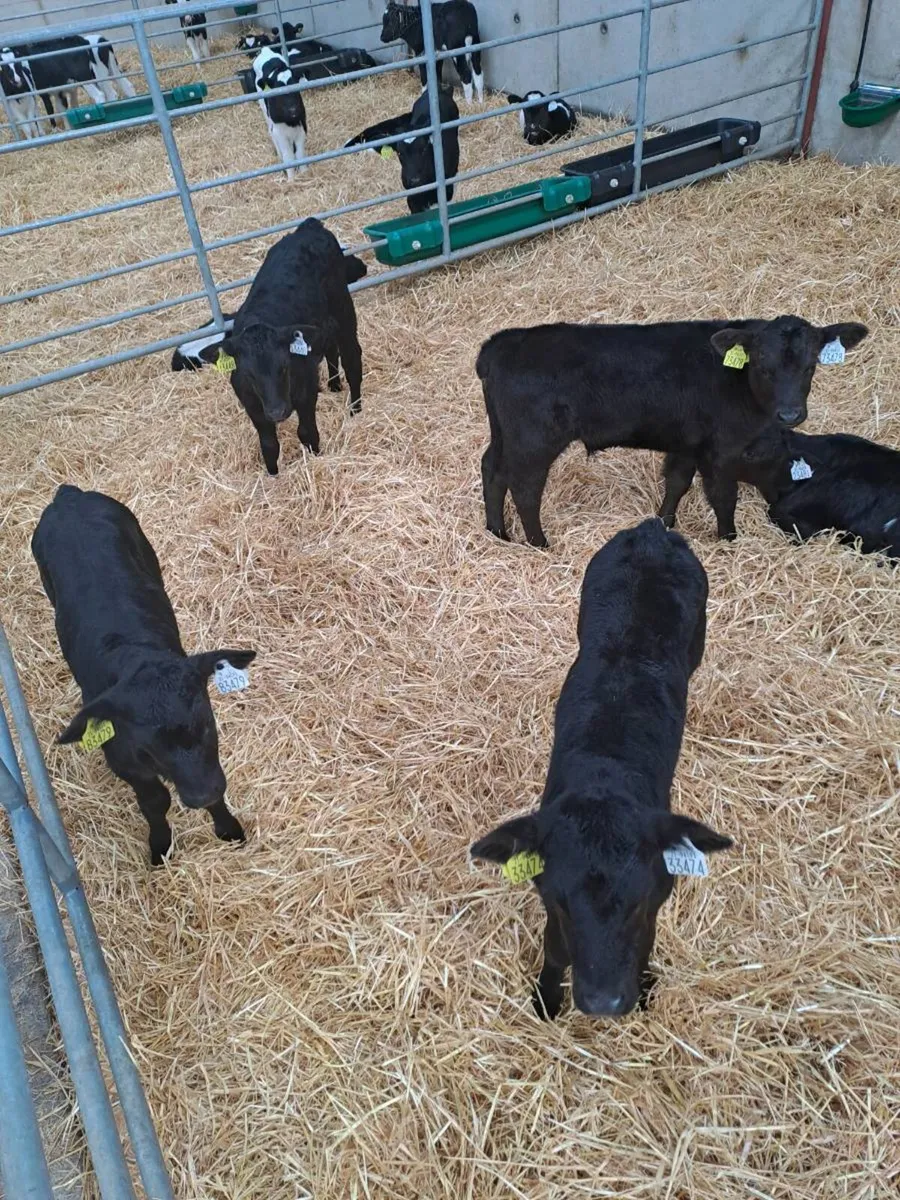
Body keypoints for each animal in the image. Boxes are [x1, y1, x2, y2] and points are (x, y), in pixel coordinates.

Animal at [32, 486, 255, 866]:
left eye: (206, 723)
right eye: (149, 745)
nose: (199, 795)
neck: (137, 655)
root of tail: (69, 496)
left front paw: (228, 828)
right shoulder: (123, 760)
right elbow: (154, 802)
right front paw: (160, 845)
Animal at [217, 218, 365, 474]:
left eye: (284, 367)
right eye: (250, 375)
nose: (277, 411)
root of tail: (309, 226)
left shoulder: (306, 388)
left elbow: (306, 431)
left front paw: (315, 458)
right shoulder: (252, 404)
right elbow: (269, 444)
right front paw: (273, 475)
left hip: (343, 309)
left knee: (351, 358)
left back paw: (355, 409)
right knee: (331, 349)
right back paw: (334, 384)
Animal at [471, 518, 731, 1019]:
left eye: (639, 899)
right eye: (561, 900)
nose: (603, 1001)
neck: (604, 775)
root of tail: (652, 531)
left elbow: (647, 940)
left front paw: (644, 988)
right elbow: (555, 947)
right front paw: (547, 998)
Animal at [477, 316, 869, 547]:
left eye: (810, 366)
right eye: (762, 366)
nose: (790, 414)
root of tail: (499, 344)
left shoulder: (687, 442)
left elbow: (677, 481)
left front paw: (664, 523)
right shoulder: (721, 450)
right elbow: (724, 497)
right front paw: (729, 540)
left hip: (504, 434)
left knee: (492, 470)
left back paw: (498, 532)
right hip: (534, 440)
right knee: (525, 488)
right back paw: (539, 542)